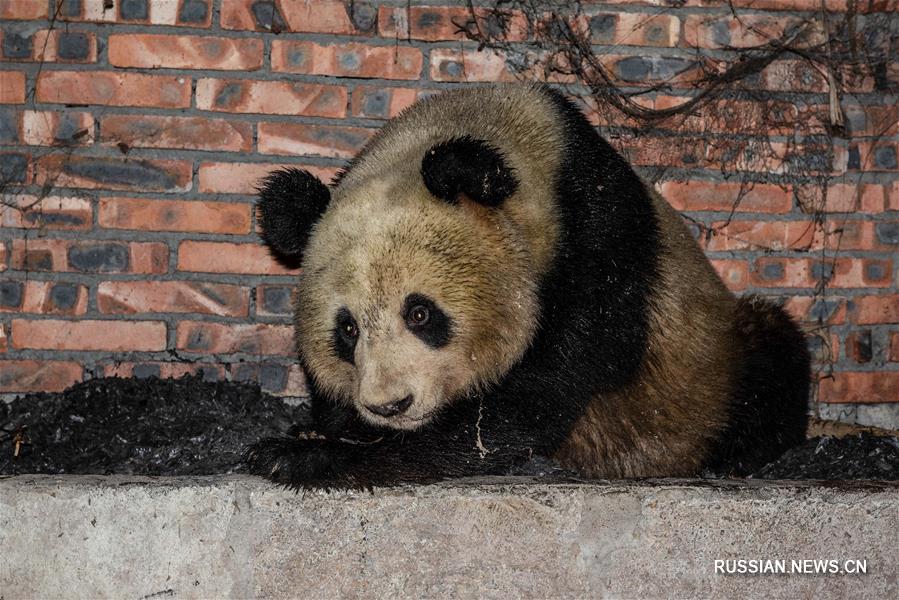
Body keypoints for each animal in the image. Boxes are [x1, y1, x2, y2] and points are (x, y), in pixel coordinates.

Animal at [243, 83, 812, 488]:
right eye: (348, 330)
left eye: (420, 313)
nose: (390, 406)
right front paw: (318, 430)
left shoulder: (597, 252)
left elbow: (528, 401)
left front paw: (301, 456)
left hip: (710, 369)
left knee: (771, 353)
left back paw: (739, 453)